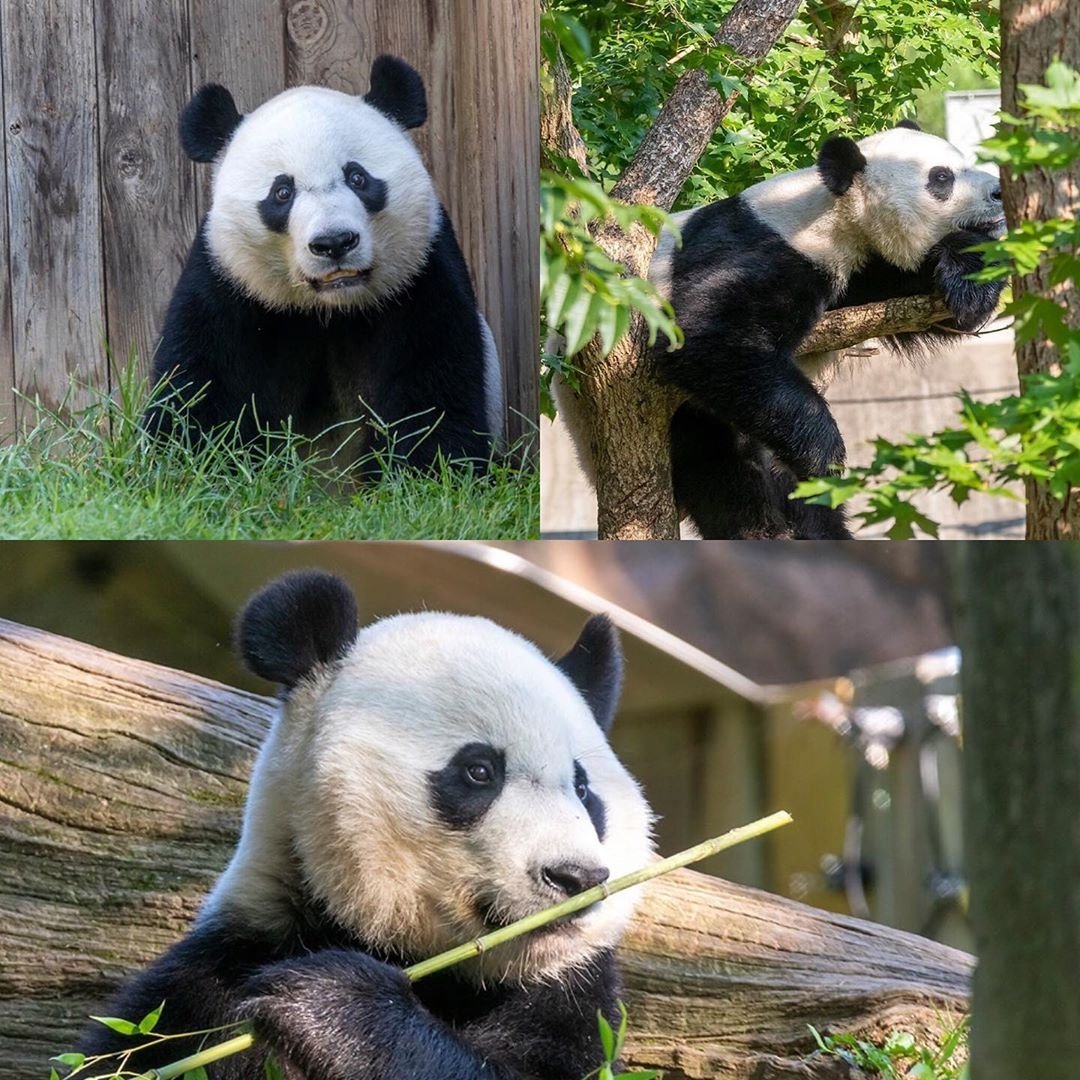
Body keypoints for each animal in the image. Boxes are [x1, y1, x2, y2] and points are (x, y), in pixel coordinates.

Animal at [79, 570, 653, 1080]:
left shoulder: (572, 998)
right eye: (479, 771)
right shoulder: (225, 968)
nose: (575, 877)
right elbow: (145, 1046)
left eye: (584, 790)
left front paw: (332, 1005)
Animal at [145, 56, 502, 468]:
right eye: (282, 192)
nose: (334, 243)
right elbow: (200, 382)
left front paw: (426, 467)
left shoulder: (421, 273)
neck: (329, 308)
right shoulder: (227, 278)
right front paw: (192, 461)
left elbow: (433, 380)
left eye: (358, 177)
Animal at [558, 122, 1005, 539]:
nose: (998, 190)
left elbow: (917, 295)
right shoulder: (766, 248)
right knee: (726, 475)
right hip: (678, 420)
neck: (833, 213)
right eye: (941, 177)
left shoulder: (860, 274)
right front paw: (825, 452)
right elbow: (710, 335)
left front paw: (973, 279)